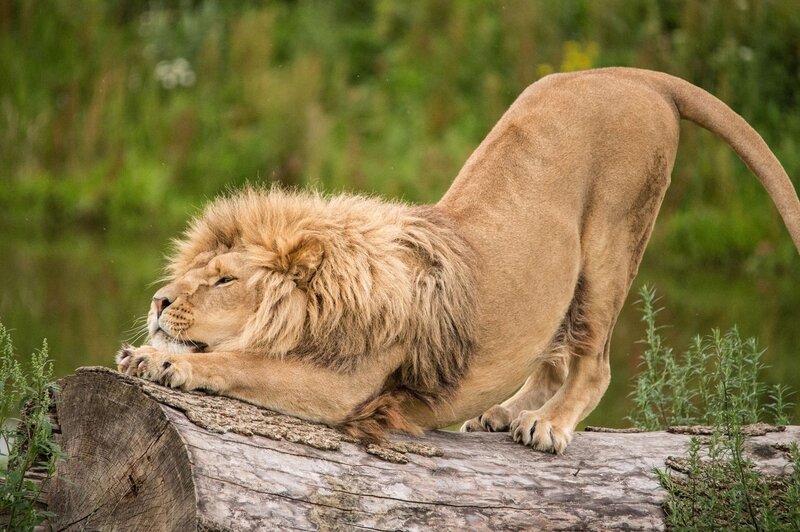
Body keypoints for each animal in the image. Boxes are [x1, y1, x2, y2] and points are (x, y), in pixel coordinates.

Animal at [117, 68, 800, 453]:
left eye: (225, 280)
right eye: (187, 276)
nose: (157, 301)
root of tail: (639, 76)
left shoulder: (350, 385)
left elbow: (244, 362)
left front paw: (159, 360)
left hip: (612, 241)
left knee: (594, 362)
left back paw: (549, 426)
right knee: (552, 354)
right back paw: (505, 414)